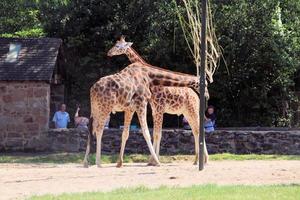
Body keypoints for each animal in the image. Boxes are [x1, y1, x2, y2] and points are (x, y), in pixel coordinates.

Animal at [107, 36, 209, 165]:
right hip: (187, 113)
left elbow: (157, 134)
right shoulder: (155, 110)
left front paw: (154, 160)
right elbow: (156, 134)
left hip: (193, 110)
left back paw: (204, 160)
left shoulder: (159, 108)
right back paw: (197, 160)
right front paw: (152, 160)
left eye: (118, 46)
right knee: (196, 131)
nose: (109, 53)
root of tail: (196, 97)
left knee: (199, 130)